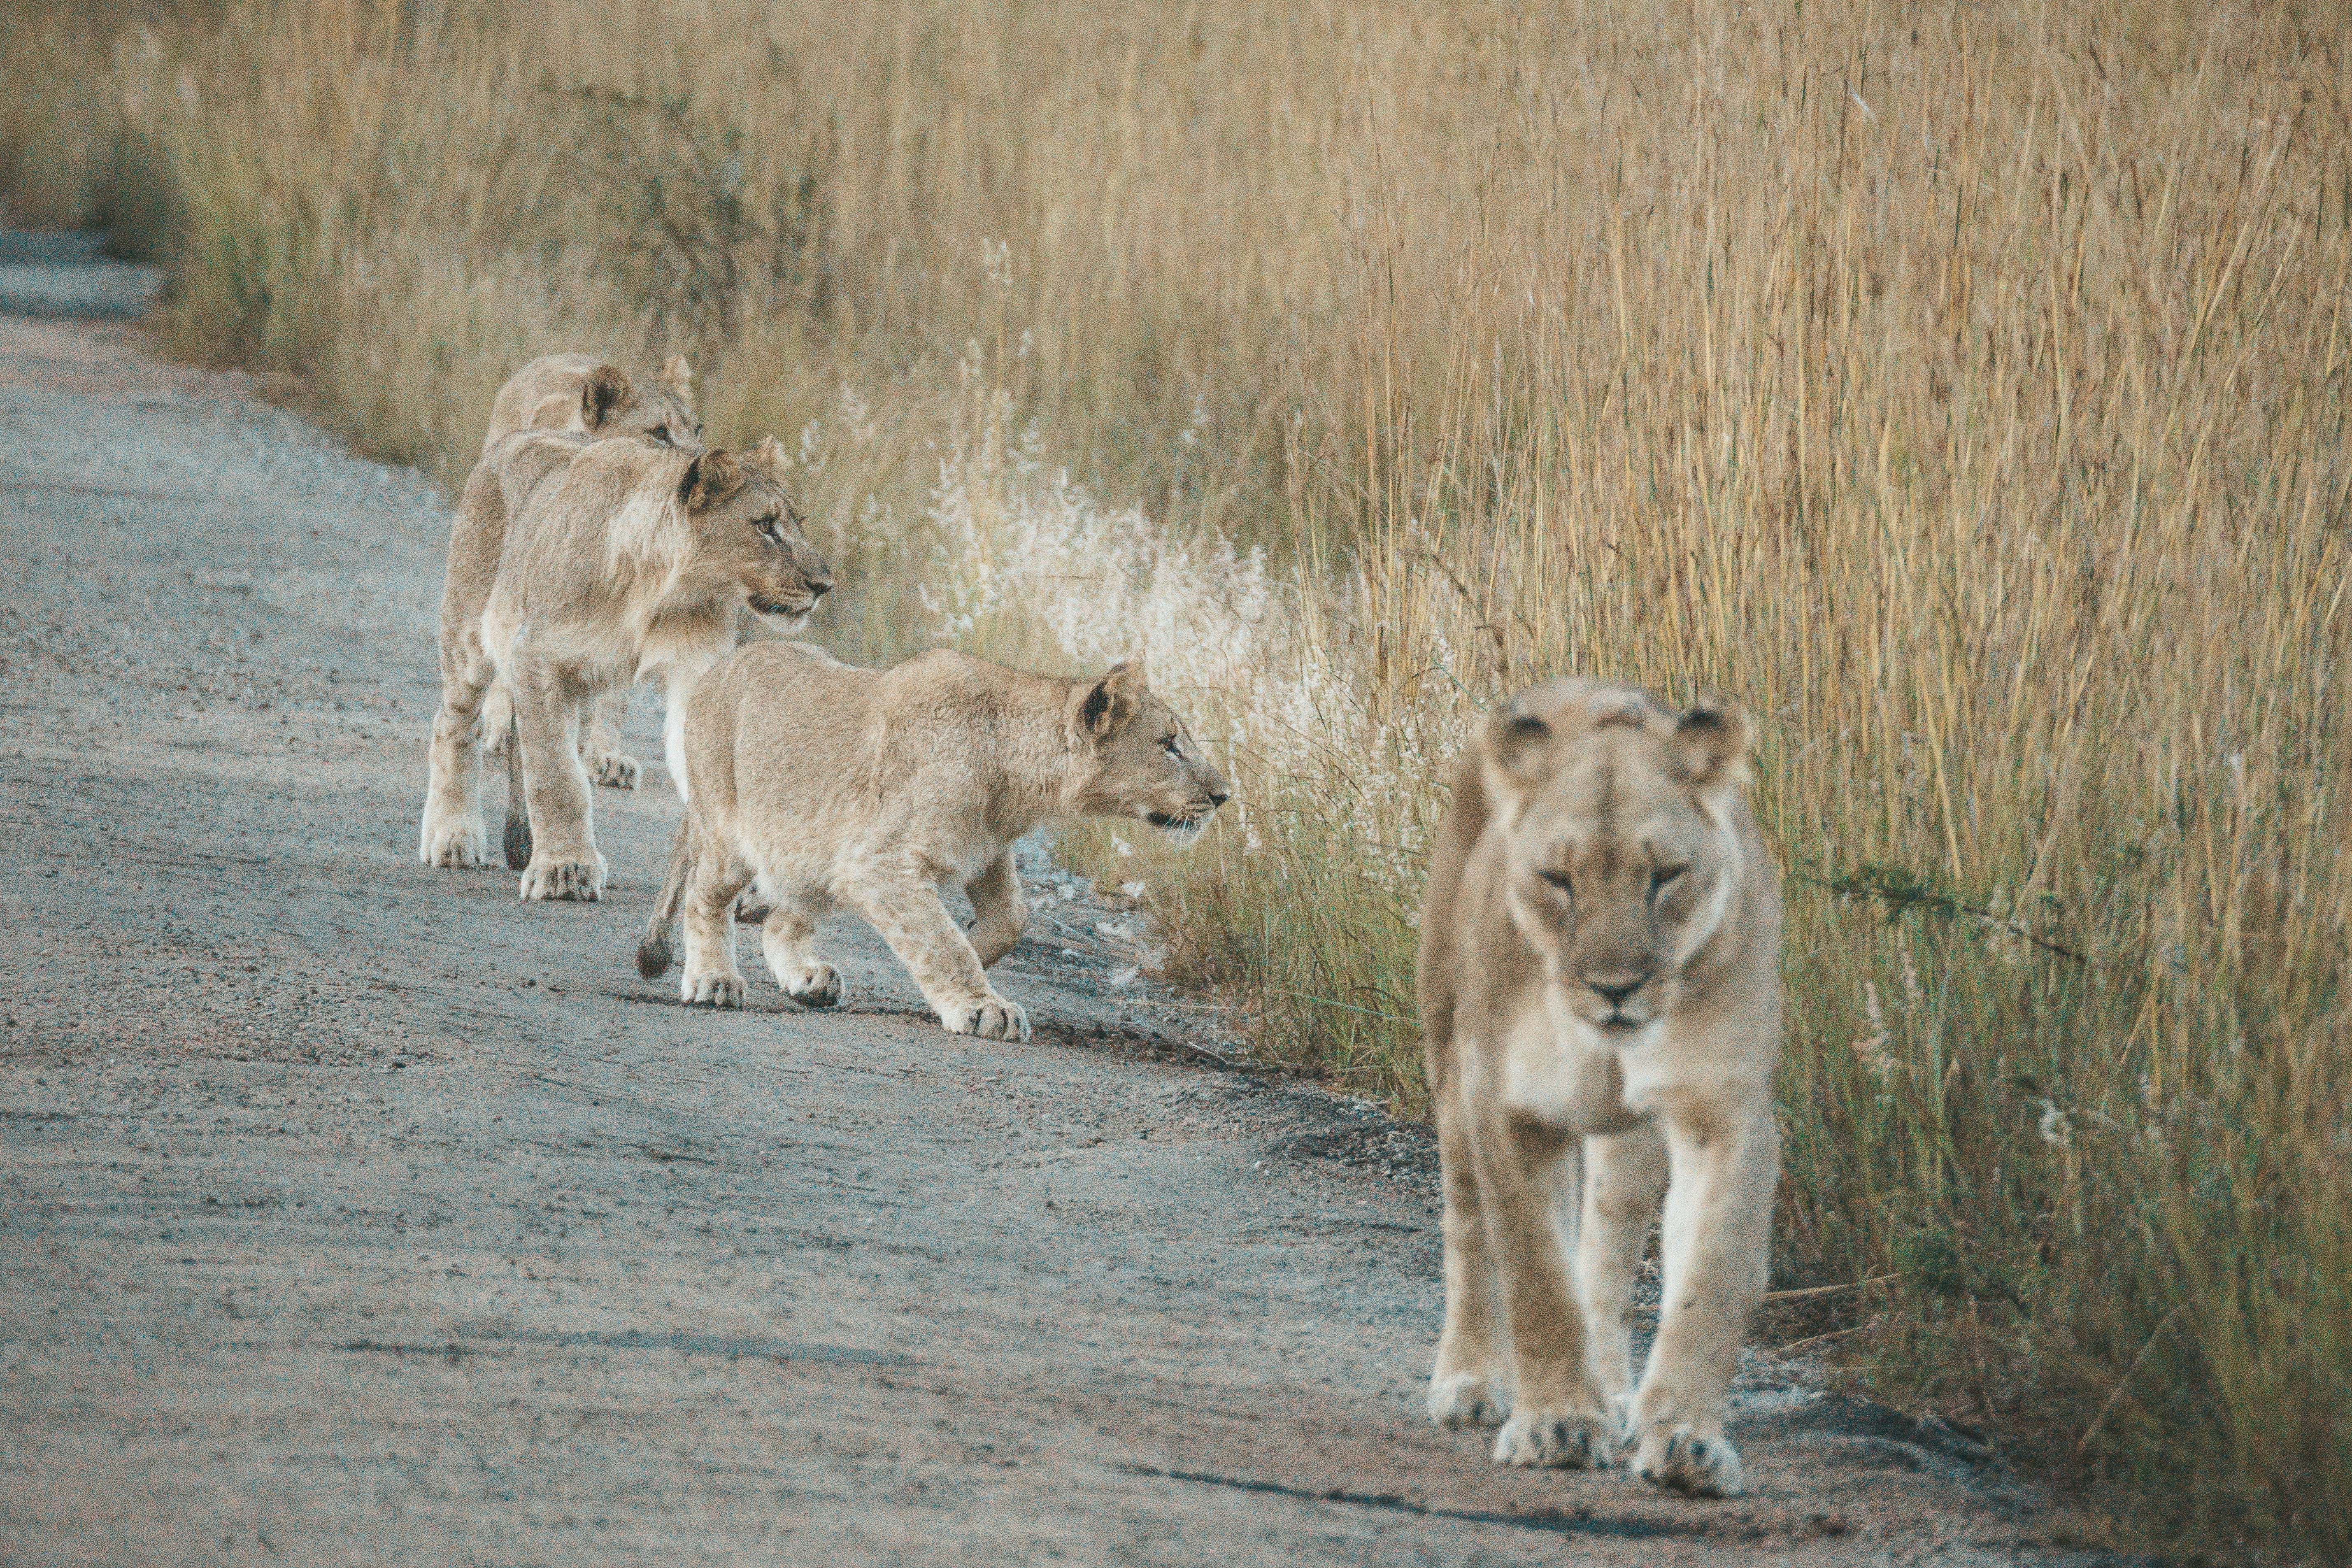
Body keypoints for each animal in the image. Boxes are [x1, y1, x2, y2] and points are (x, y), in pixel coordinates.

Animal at [418, 435, 832, 901]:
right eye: (764, 526)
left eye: (799, 523)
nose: (824, 585)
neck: (659, 590)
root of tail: (510, 440)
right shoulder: (537, 656)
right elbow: (557, 776)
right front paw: (564, 868)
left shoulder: (694, 669)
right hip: (470, 635)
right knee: (452, 724)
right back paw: (454, 837)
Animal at [635, 644, 1229, 1041]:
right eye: (1168, 744)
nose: (1223, 794)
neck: (1018, 783)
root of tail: (720, 666)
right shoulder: (877, 863)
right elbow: (941, 942)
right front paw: (983, 1006)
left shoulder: (986, 851)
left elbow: (1012, 918)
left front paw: (977, 957)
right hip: (727, 829)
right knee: (704, 898)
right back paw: (714, 979)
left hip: (814, 856)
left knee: (782, 920)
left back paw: (807, 978)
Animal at [1415, 679, 1781, 1499]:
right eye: (1558, 880)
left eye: (1666, 874)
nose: (1616, 988)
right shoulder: (1506, 1106)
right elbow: (1534, 1274)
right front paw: (1556, 1426)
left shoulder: (1725, 1109)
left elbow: (1712, 1277)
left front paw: (1685, 1440)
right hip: (1449, 1069)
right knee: (1469, 1233)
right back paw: (1469, 1383)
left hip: (1629, 1143)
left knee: (1607, 1255)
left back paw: (1614, 1393)